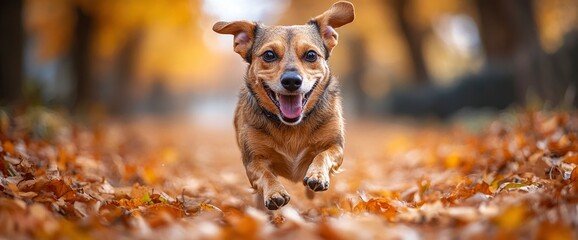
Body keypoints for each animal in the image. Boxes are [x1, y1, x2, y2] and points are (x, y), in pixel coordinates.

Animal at [214, 0, 354, 209]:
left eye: (311, 55)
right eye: (269, 55)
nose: (291, 80)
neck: (292, 127)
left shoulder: (336, 146)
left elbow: (323, 155)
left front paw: (317, 175)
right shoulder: (252, 160)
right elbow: (265, 174)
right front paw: (274, 192)